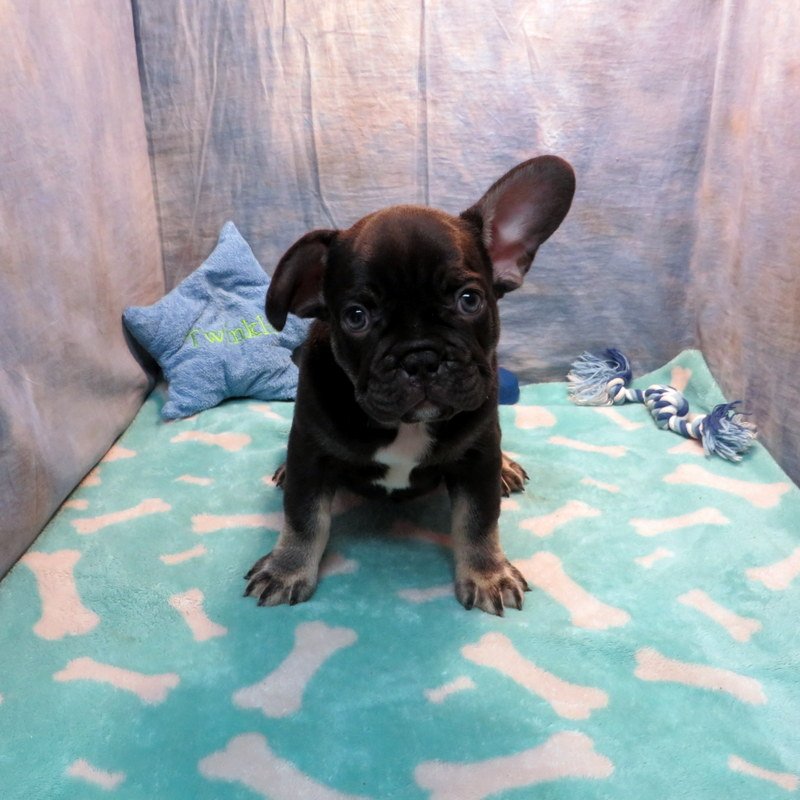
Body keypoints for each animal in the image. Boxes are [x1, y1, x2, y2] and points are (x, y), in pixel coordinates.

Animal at [244, 156, 575, 615]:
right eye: (356, 317)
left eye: (470, 300)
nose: (420, 358)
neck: (406, 425)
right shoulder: (310, 454)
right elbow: (303, 517)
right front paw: (286, 569)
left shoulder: (478, 456)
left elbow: (479, 521)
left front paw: (487, 574)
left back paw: (507, 467)